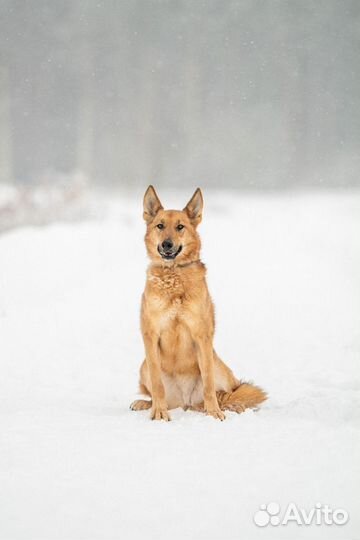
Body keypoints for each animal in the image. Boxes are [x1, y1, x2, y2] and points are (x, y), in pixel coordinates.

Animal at [131, 187, 266, 422]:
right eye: (160, 226)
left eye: (180, 227)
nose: (167, 244)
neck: (174, 275)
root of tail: (186, 402)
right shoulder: (151, 336)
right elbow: (157, 385)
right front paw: (158, 411)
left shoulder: (201, 336)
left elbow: (209, 384)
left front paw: (214, 413)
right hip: (145, 366)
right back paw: (146, 404)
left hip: (217, 364)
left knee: (230, 392)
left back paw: (230, 406)